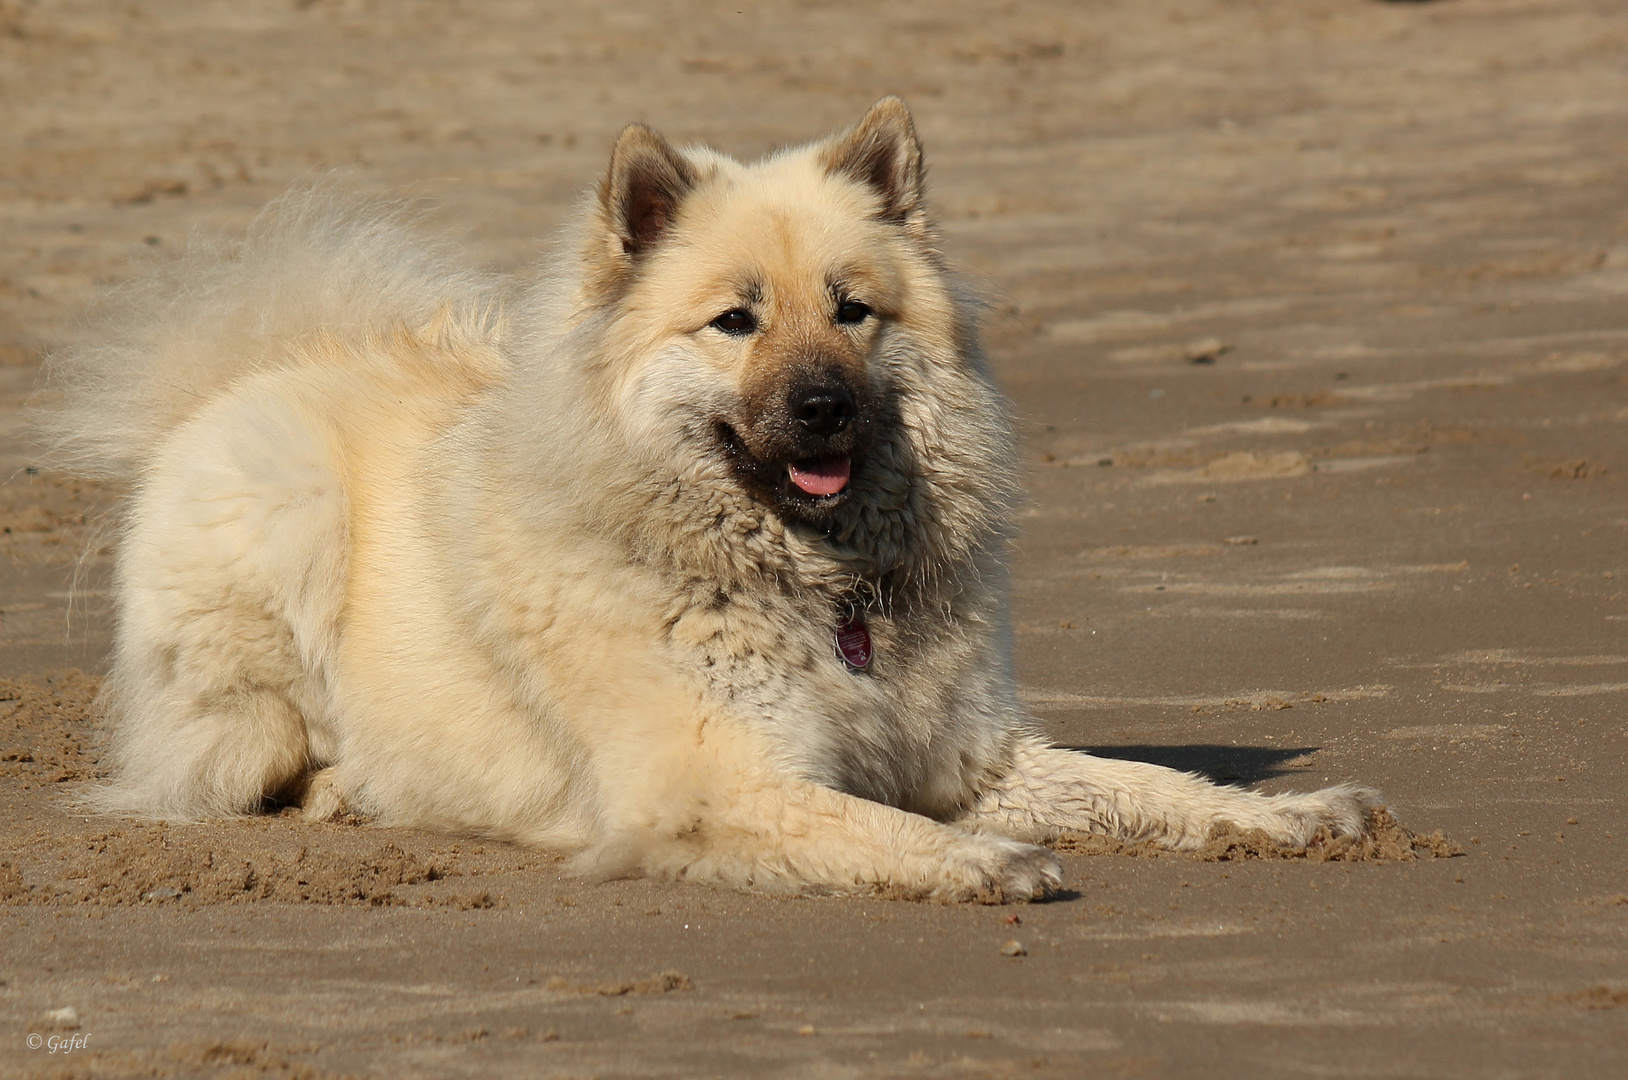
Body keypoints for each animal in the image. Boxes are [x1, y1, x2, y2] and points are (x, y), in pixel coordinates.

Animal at [41, 97, 1374, 899]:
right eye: (736, 321)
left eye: (851, 310)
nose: (823, 408)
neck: (817, 582)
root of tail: (241, 379)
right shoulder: (714, 785)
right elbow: (879, 828)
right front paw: (986, 861)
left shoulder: (963, 752)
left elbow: (1140, 786)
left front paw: (1286, 815)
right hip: (285, 531)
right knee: (250, 759)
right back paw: (345, 792)